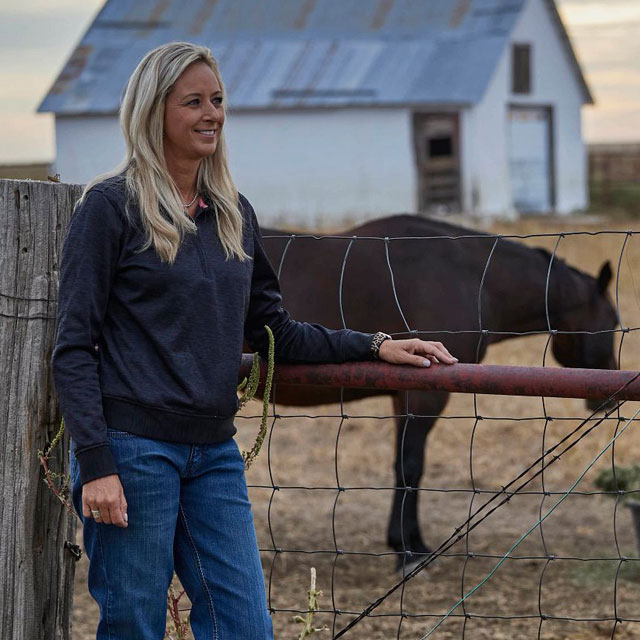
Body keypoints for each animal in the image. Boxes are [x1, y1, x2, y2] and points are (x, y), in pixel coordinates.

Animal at [258, 216, 616, 568]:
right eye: (612, 323)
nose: (607, 400)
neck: (473, 277)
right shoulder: (425, 396)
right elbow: (410, 464)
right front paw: (408, 550)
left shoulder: (403, 398)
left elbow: (407, 465)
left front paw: (408, 541)